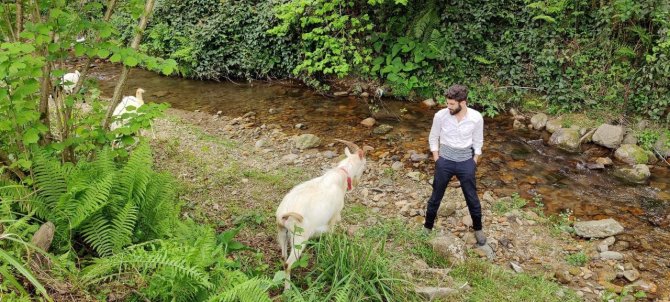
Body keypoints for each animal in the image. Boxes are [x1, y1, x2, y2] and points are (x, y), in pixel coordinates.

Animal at [276, 139, 376, 290]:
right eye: (365, 165)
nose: (357, 183)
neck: (341, 175)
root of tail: (284, 214)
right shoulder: (334, 216)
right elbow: (330, 235)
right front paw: (330, 251)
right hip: (299, 237)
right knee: (288, 263)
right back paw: (288, 290)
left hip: (282, 232)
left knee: (283, 258)